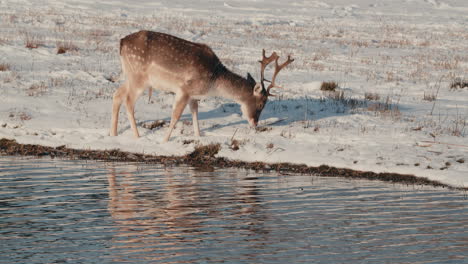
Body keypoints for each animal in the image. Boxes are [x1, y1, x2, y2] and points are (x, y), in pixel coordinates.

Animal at [109, 30, 292, 142]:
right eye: (261, 104)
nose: (255, 123)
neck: (213, 81)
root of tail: (121, 42)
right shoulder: (184, 89)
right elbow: (175, 116)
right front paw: (164, 141)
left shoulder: (193, 95)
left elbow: (195, 112)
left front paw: (199, 136)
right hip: (138, 77)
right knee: (128, 101)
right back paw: (137, 136)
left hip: (130, 76)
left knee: (117, 94)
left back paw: (114, 133)